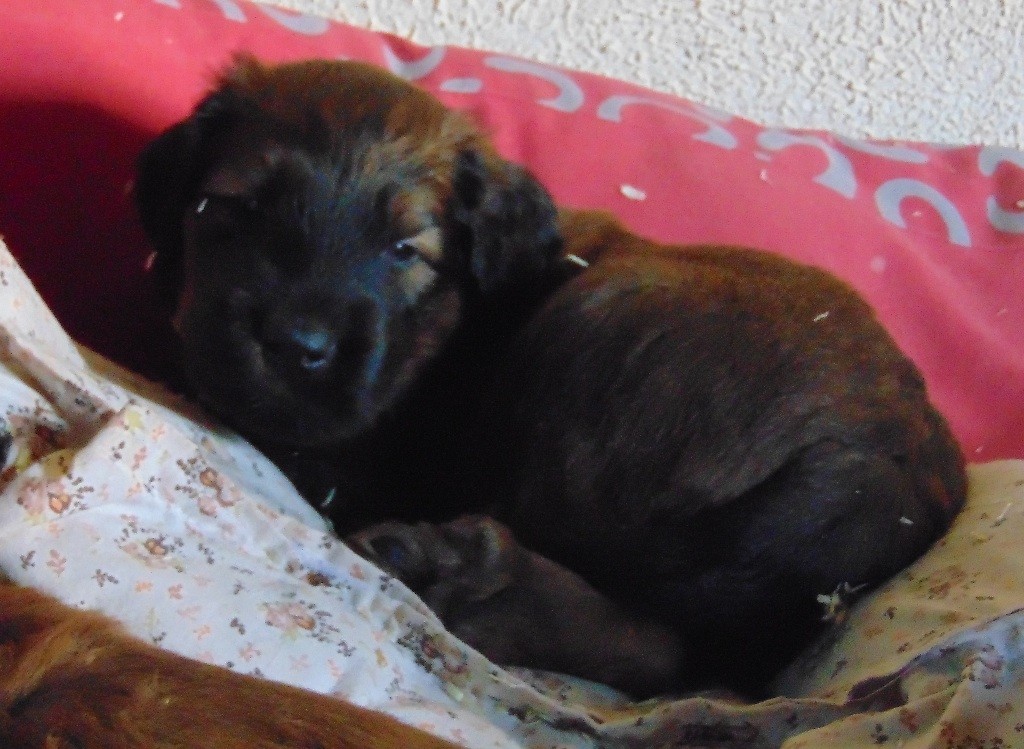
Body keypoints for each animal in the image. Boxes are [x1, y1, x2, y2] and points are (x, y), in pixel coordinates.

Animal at [135, 56, 967, 697]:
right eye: (233, 207)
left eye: (406, 249)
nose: (295, 343)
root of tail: (893, 459)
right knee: (673, 643)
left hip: (591, 341)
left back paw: (457, 576)